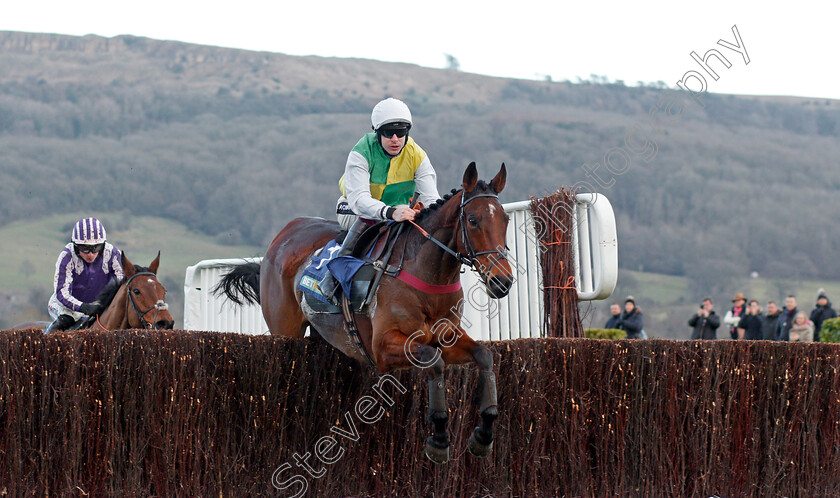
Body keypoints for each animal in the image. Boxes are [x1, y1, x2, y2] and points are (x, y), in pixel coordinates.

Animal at [217, 163, 512, 462]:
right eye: (473, 220)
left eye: (505, 220)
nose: (502, 282)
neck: (425, 273)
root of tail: (282, 236)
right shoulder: (383, 347)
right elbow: (434, 361)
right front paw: (439, 439)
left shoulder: (447, 336)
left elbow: (484, 355)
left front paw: (483, 434)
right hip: (284, 329)